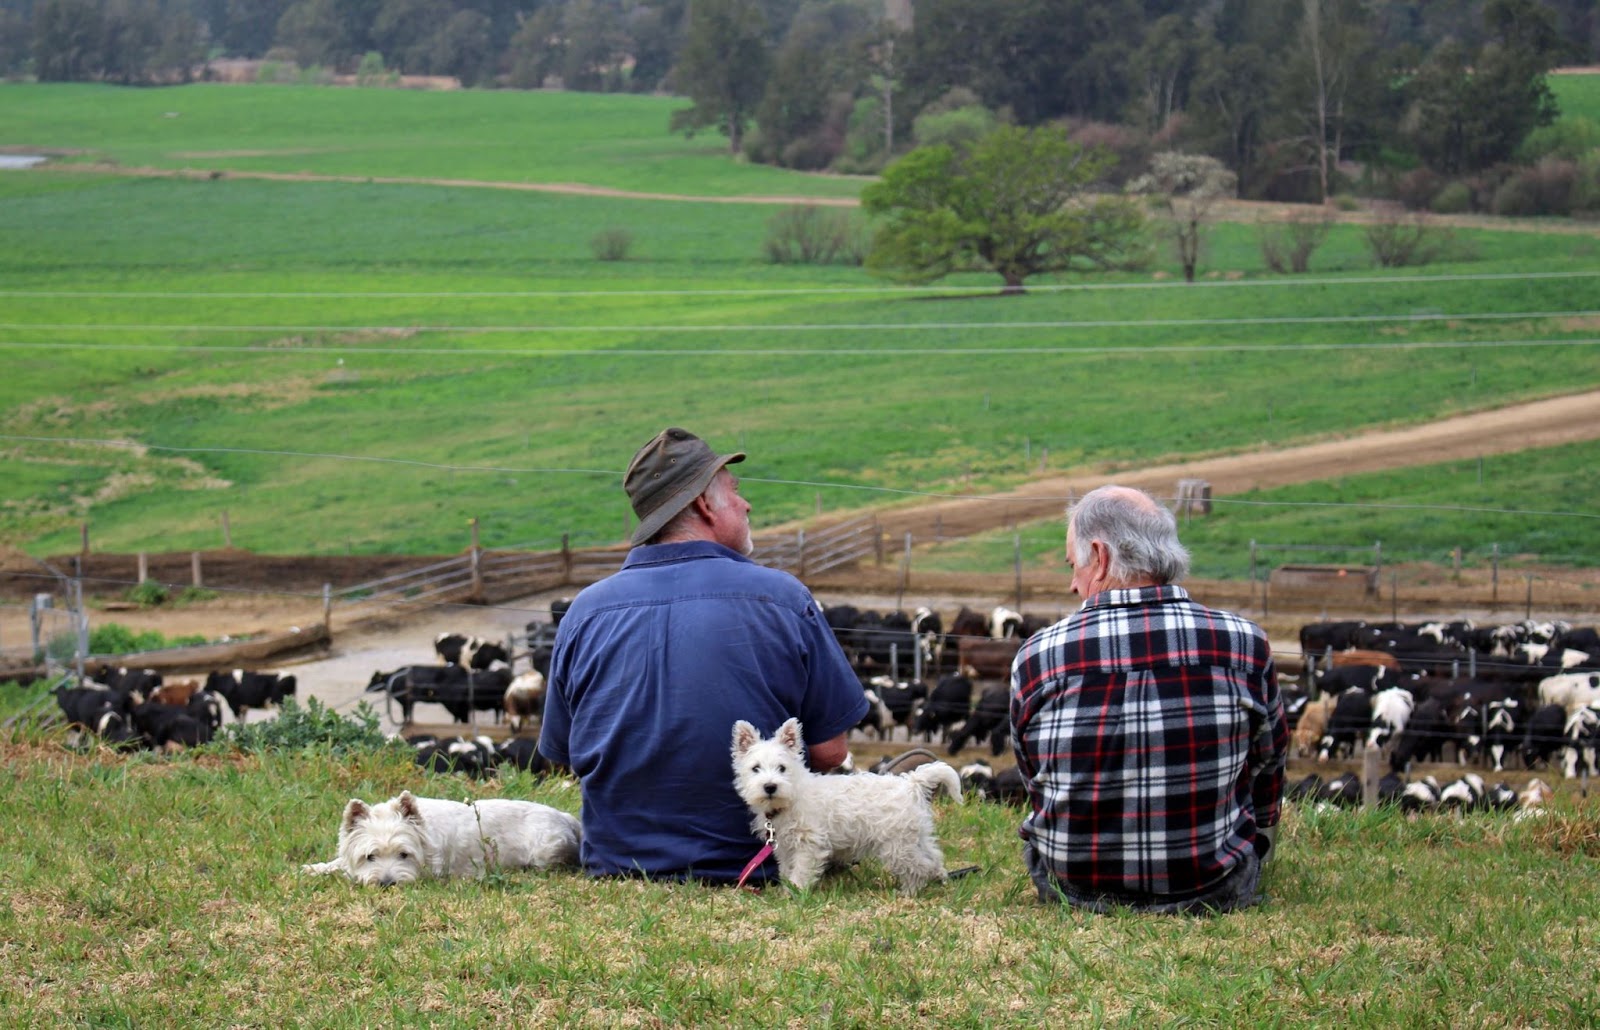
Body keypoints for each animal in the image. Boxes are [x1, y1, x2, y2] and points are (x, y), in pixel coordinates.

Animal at [300, 790, 582, 882]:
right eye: (370, 856)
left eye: (404, 854)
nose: (387, 883)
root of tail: (566, 817)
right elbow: (338, 863)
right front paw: (314, 868)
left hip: (545, 850)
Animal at [729, 716, 960, 895]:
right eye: (755, 768)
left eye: (782, 768)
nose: (770, 786)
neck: (792, 795)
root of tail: (912, 784)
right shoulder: (786, 848)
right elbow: (787, 869)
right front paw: (787, 891)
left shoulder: (809, 845)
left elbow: (800, 871)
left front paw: (795, 894)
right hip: (915, 837)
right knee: (933, 856)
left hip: (897, 845)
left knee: (920, 867)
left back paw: (909, 892)